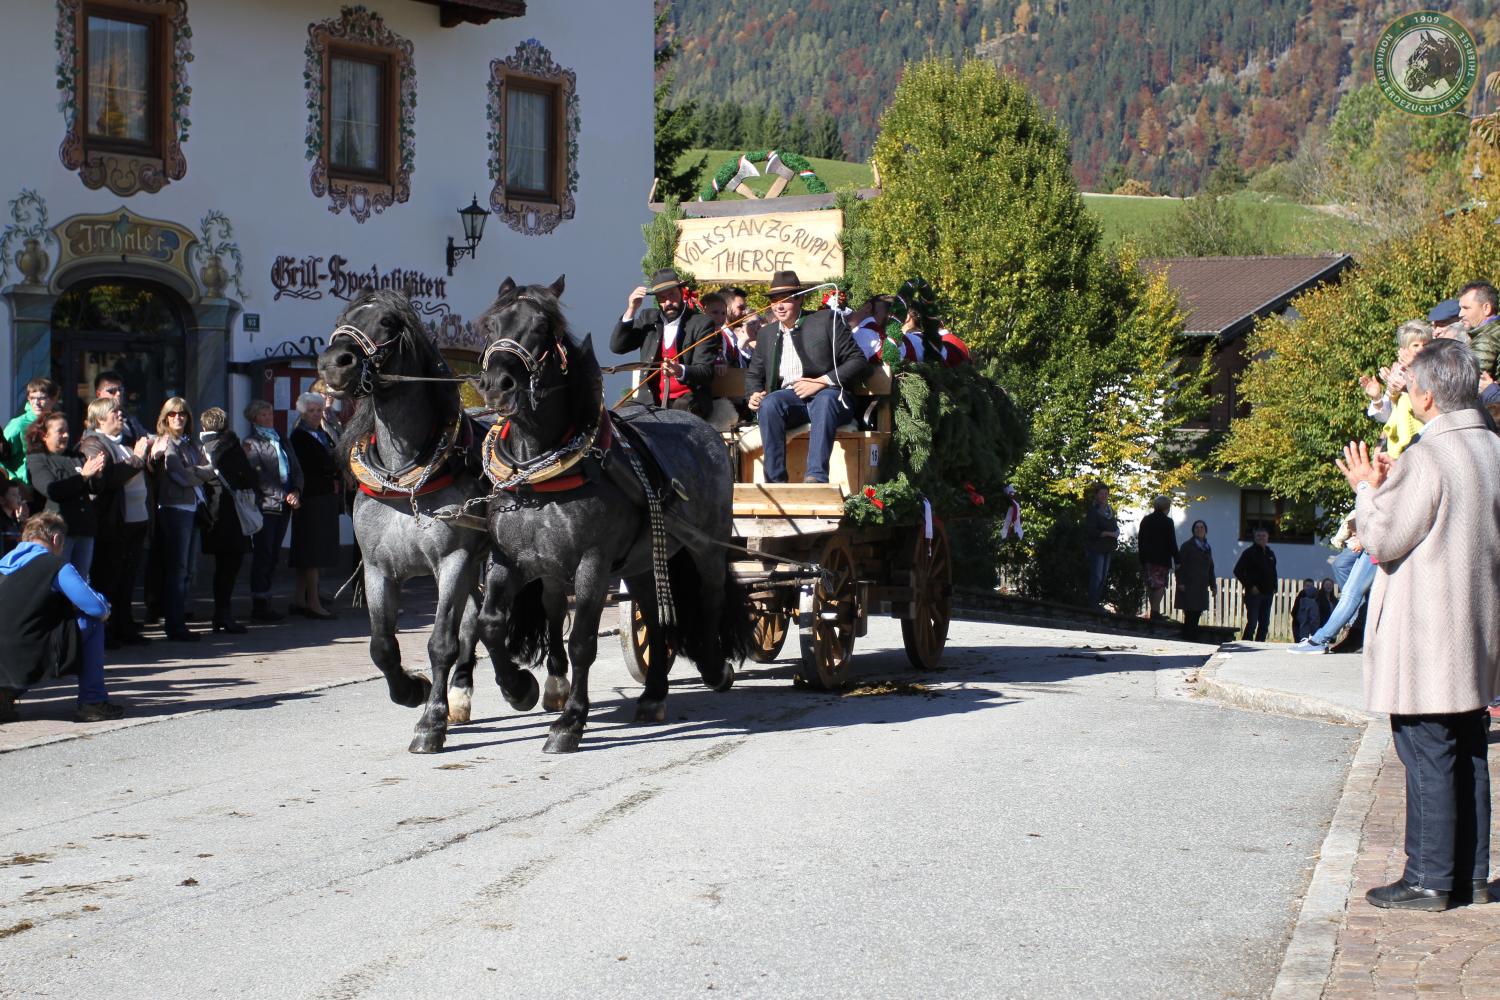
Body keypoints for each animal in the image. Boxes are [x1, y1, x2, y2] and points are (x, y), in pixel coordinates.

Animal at [315, 288, 540, 754]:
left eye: (387, 322)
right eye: (343, 319)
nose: (334, 363)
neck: (407, 479)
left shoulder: (452, 560)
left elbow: (441, 643)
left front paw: (430, 722)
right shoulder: (379, 569)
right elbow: (382, 646)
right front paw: (412, 691)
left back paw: (530, 687)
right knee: (476, 622)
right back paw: (465, 693)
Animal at [470, 275, 752, 754]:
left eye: (543, 327)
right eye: (491, 325)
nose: (497, 385)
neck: (539, 471)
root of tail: (710, 432)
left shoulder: (593, 563)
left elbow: (582, 641)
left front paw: (570, 722)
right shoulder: (509, 559)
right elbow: (490, 624)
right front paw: (519, 688)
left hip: (706, 546)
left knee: (711, 595)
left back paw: (714, 668)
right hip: (642, 562)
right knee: (655, 616)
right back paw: (654, 693)